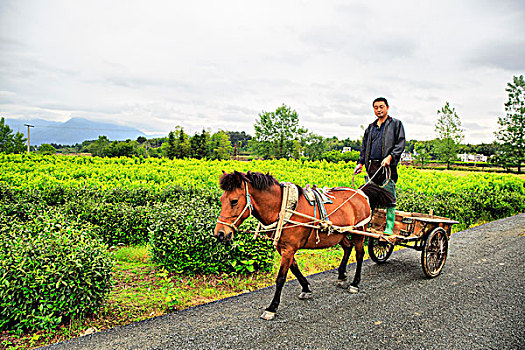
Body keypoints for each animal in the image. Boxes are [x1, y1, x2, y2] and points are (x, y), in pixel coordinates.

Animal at [213, 170, 388, 320]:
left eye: (234, 201)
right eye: (221, 200)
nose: (219, 234)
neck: (283, 207)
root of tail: (360, 192)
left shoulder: (289, 248)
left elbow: (281, 277)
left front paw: (272, 308)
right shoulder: (283, 247)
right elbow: (295, 268)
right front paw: (306, 289)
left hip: (359, 230)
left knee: (359, 254)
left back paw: (355, 283)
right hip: (339, 233)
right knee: (347, 247)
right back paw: (341, 275)